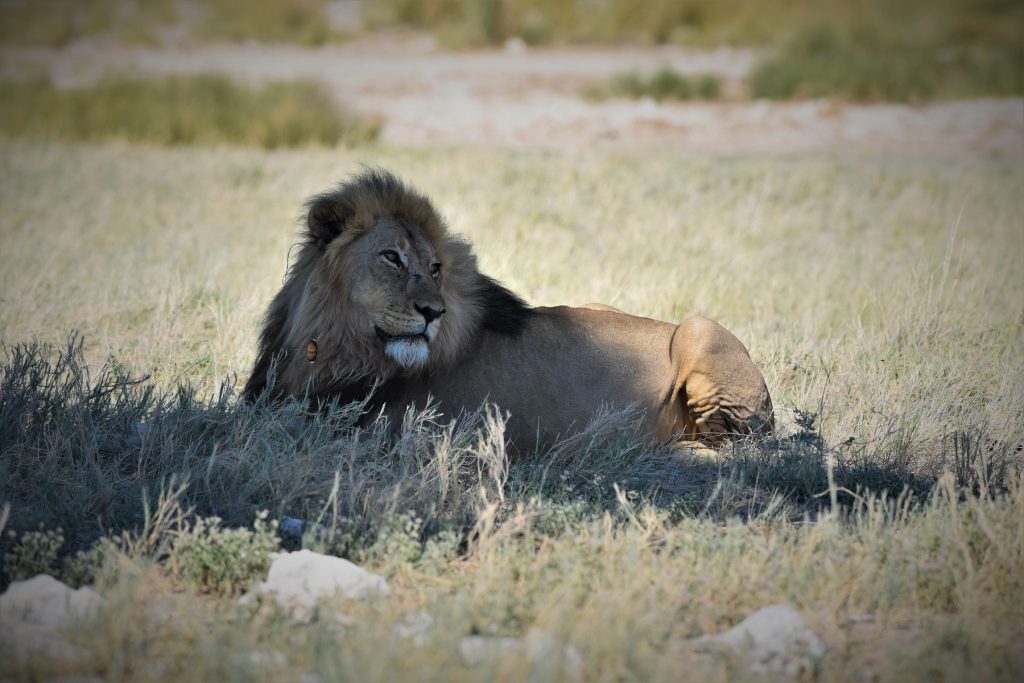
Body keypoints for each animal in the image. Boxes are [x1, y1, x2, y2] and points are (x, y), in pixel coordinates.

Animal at [239, 167, 770, 450]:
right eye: (392, 257)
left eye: (435, 267)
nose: (434, 313)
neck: (334, 346)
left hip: (698, 328)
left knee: (740, 449)